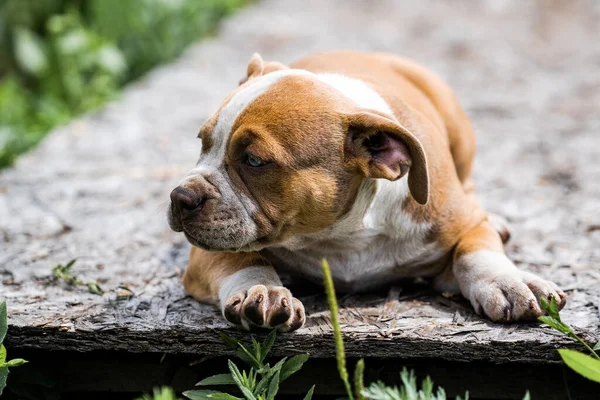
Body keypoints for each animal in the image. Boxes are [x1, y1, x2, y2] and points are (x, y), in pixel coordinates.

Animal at [168, 50, 568, 332]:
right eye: (203, 143)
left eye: (254, 161)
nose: (180, 197)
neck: (343, 234)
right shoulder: (206, 251)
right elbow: (244, 259)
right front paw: (263, 290)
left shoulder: (459, 223)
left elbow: (476, 249)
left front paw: (510, 280)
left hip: (458, 130)